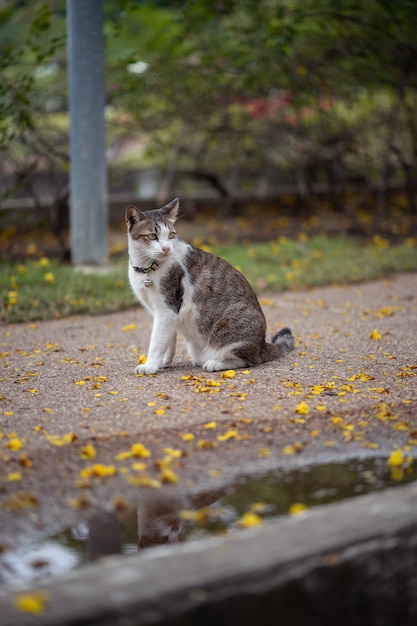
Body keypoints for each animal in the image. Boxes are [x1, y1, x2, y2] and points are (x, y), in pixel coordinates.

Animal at [125, 197, 294, 372]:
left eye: (171, 235)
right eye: (152, 236)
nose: (166, 248)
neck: (147, 268)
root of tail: (262, 345)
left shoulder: (167, 308)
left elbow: (157, 342)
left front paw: (150, 366)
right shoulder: (162, 313)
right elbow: (168, 341)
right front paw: (163, 363)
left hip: (232, 325)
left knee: (250, 360)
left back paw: (215, 363)